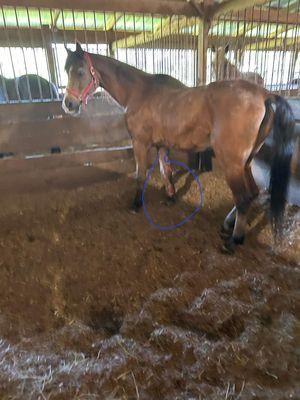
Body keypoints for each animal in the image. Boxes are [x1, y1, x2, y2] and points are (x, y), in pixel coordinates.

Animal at [62, 43, 294, 253]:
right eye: (66, 70)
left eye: (80, 71)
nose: (68, 104)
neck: (139, 92)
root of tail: (264, 95)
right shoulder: (162, 145)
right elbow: (166, 171)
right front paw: (171, 197)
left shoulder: (140, 143)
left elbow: (140, 174)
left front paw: (136, 204)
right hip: (246, 162)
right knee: (253, 193)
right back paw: (227, 226)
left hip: (232, 163)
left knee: (243, 199)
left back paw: (232, 241)